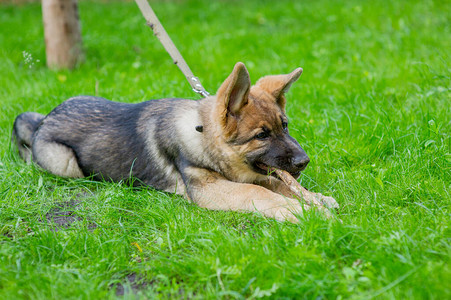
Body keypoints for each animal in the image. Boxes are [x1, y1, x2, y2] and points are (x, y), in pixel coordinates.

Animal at [11, 62, 336, 221]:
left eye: (285, 126)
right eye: (261, 135)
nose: (304, 162)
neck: (201, 135)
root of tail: (43, 121)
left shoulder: (250, 175)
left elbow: (277, 184)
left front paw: (316, 200)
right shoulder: (209, 189)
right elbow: (257, 191)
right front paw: (301, 212)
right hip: (67, 164)